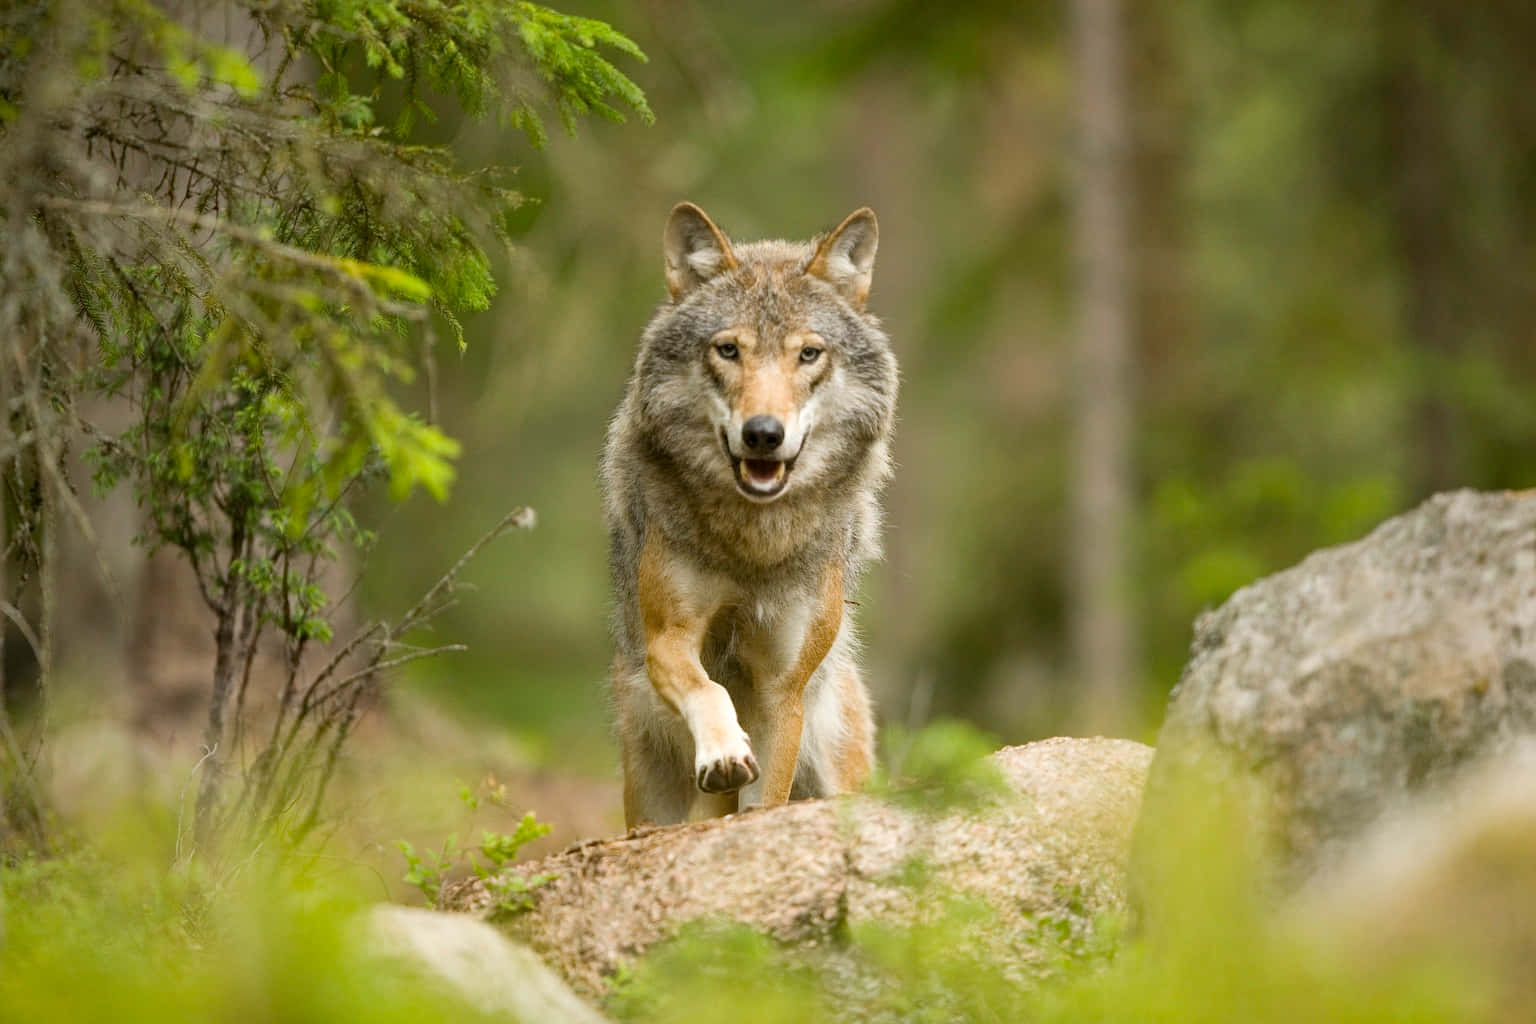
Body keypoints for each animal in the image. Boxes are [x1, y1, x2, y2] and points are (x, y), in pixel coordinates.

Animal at [602, 204, 897, 829]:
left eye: (808, 353)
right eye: (728, 350)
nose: (764, 433)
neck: (755, 543)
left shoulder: (782, 690)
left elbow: (766, 801)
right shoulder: (670, 638)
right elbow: (708, 690)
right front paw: (722, 752)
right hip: (648, 791)